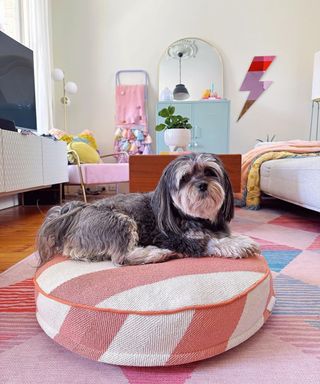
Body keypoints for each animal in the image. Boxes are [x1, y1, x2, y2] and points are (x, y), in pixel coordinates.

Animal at [37, 152, 260, 266]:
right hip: (119, 221)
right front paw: (239, 244)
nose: (202, 185)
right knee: (121, 258)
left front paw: (236, 238)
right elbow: (207, 242)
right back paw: (157, 254)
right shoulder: (170, 237)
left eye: (209, 172)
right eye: (185, 178)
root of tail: (75, 213)